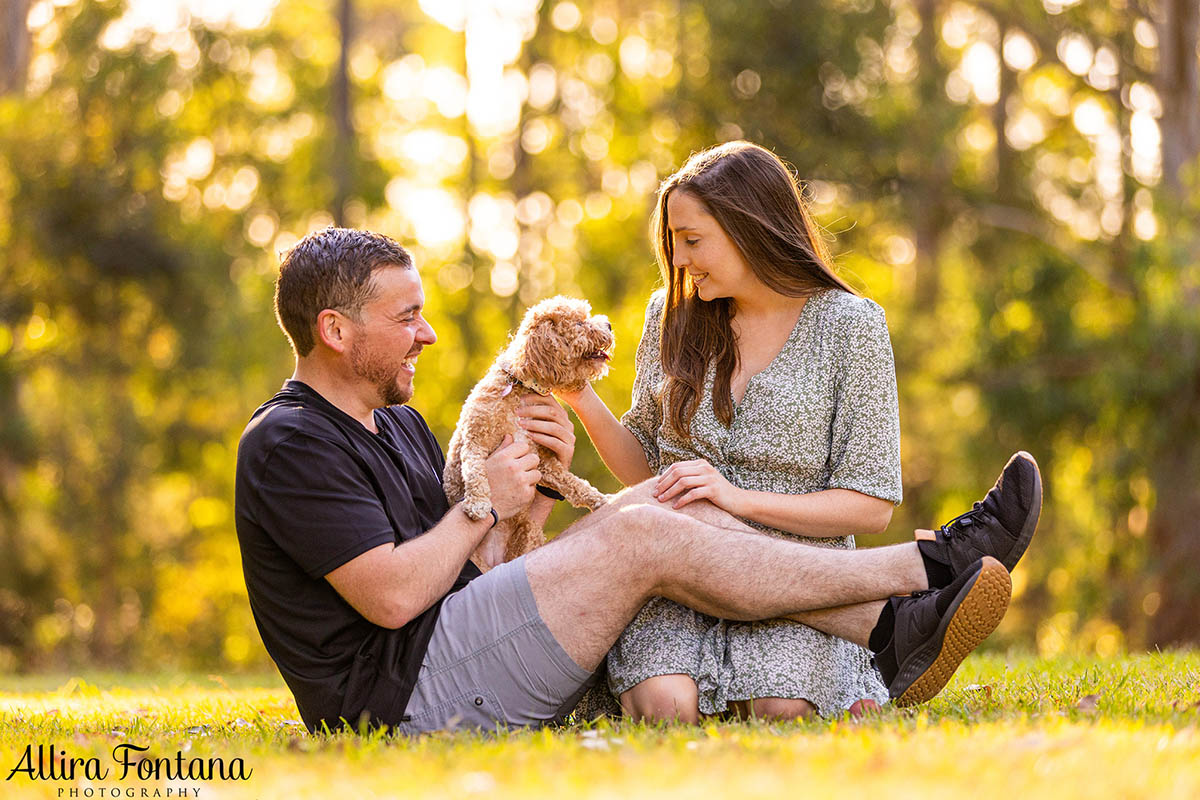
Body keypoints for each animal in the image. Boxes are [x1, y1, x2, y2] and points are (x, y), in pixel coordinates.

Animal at [448, 296, 619, 568]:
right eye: (580, 323)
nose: (609, 325)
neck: (518, 385)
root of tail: (495, 560)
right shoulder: (474, 441)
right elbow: (475, 473)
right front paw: (478, 504)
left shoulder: (542, 459)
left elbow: (572, 483)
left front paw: (599, 499)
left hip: (529, 532)